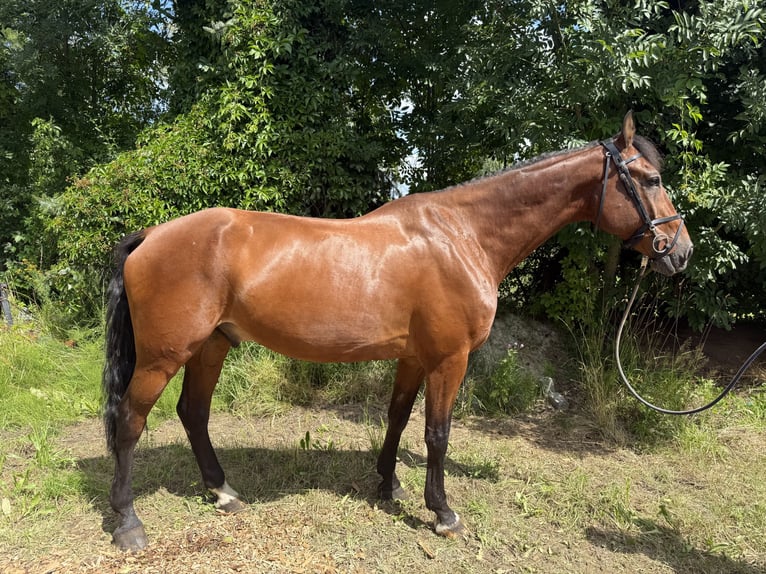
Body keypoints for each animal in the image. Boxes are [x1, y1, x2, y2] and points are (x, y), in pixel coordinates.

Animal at [102, 111, 693, 550]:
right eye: (652, 179)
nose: (680, 252)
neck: (463, 235)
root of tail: (151, 235)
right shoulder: (450, 359)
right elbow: (437, 432)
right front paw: (443, 512)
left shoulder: (414, 357)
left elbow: (398, 418)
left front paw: (388, 486)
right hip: (163, 355)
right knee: (130, 421)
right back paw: (129, 524)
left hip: (211, 346)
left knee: (193, 413)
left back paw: (222, 492)